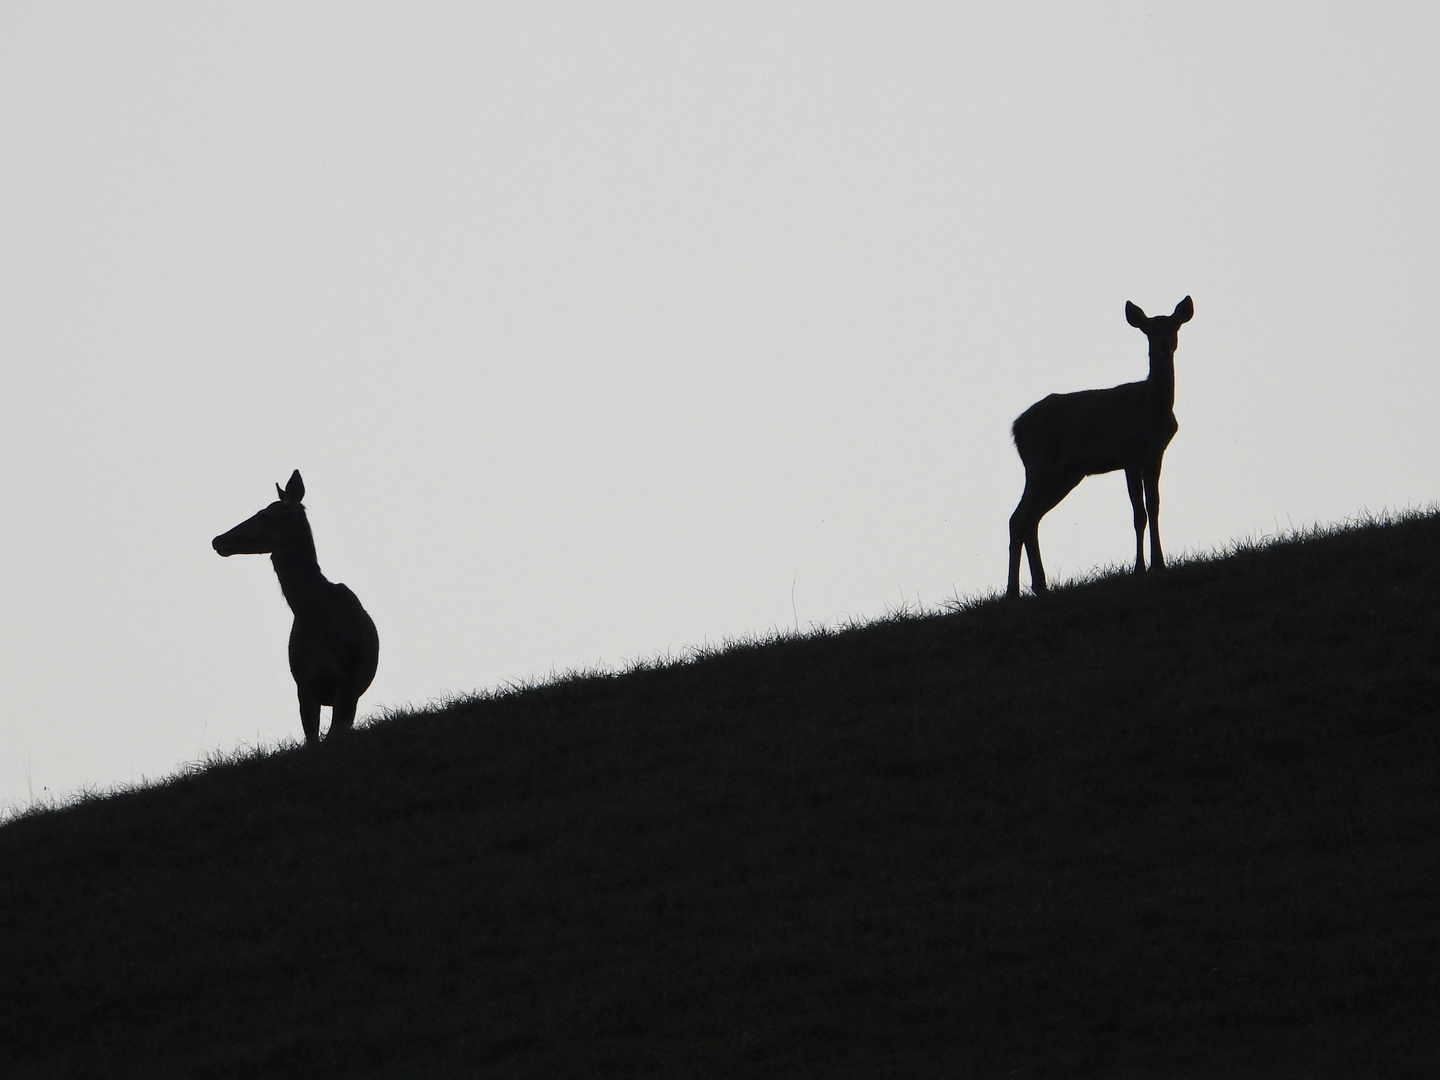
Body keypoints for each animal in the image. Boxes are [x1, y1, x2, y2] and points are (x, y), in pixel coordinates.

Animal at [213, 469, 380, 748]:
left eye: (263, 514)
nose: (218, 539)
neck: (316, 617)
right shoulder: (303, 684)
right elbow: (311, 739)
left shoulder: (347, 683)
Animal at [1002, 296, 1192, 601]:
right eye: (1149, 330)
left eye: (1174, 326)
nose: (1164, 346)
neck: (1152, 409)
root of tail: (1016, 428)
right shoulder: (1129, 454)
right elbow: (1138, 513)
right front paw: (1139, 568)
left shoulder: (1155, 455)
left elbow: (1154, 506)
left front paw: (1159, 564)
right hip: (1038, 464)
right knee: (1017, 519)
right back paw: (1012, 592)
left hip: (1066, 474)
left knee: (1031, 520)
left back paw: (1040, 585)